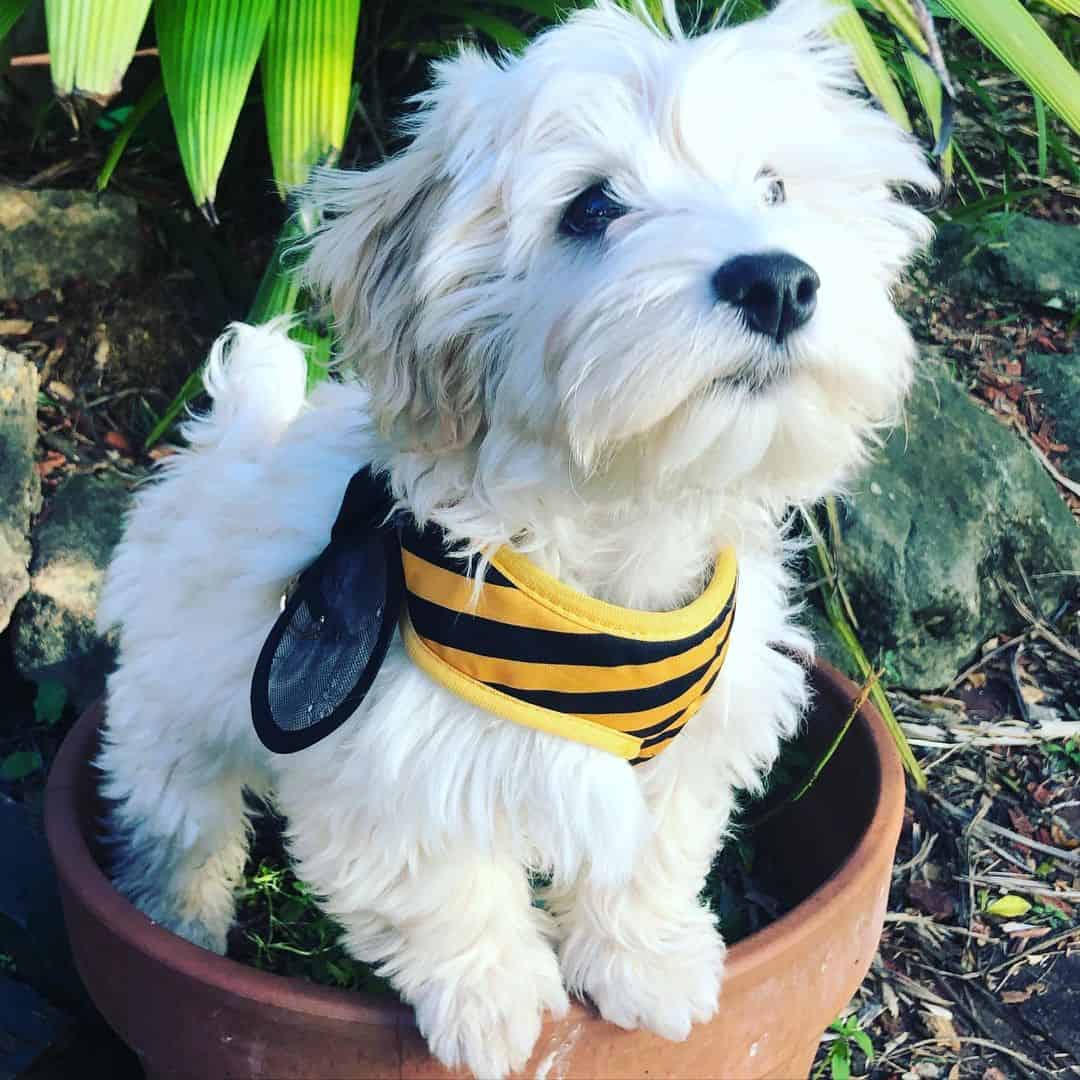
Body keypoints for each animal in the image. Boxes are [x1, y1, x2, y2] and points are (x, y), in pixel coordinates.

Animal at [95, 4, 937, 1075]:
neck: (614, 528)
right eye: (591, 208)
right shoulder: (394, 758)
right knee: (180, 818)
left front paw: (648, 961)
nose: (778, 280)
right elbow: (442, 882)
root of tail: (233, 428)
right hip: (172, 704)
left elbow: (655, 848)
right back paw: (178, 920)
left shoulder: (694, 734)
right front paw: (494, 1002)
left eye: (776, 187)